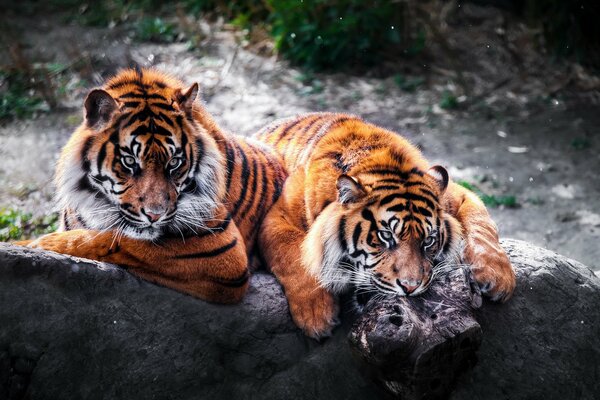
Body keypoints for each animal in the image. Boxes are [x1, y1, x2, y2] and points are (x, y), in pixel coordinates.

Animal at [15, 68, 284, 304]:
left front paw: (39, 244)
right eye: (129, 161)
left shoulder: (222, 248)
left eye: (174, 162)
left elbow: (113, 239)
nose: (155, 215)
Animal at [253, 111, 516, 338]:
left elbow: (482, 223)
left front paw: (498, 276)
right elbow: (295, 255)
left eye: (428, 241)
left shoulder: (458, 194)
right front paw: (316, 315)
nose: (410, 287)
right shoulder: (276, 217)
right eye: (385, 236)